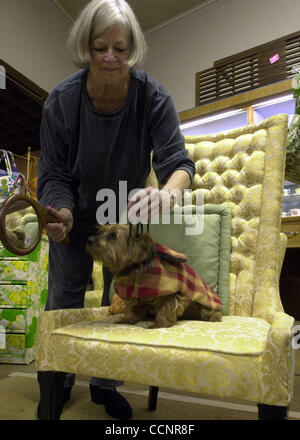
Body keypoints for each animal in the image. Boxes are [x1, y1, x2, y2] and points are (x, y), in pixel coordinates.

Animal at [87, 225, 223, 328]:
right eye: (100, 232)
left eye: (113, 236)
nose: (89, 240)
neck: (135, 269)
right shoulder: (133, 292)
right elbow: (130, 307)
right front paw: (127, 319)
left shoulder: (172, 292)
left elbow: (166, 308)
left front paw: (159, 324)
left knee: (207, 311)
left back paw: (213, 316)